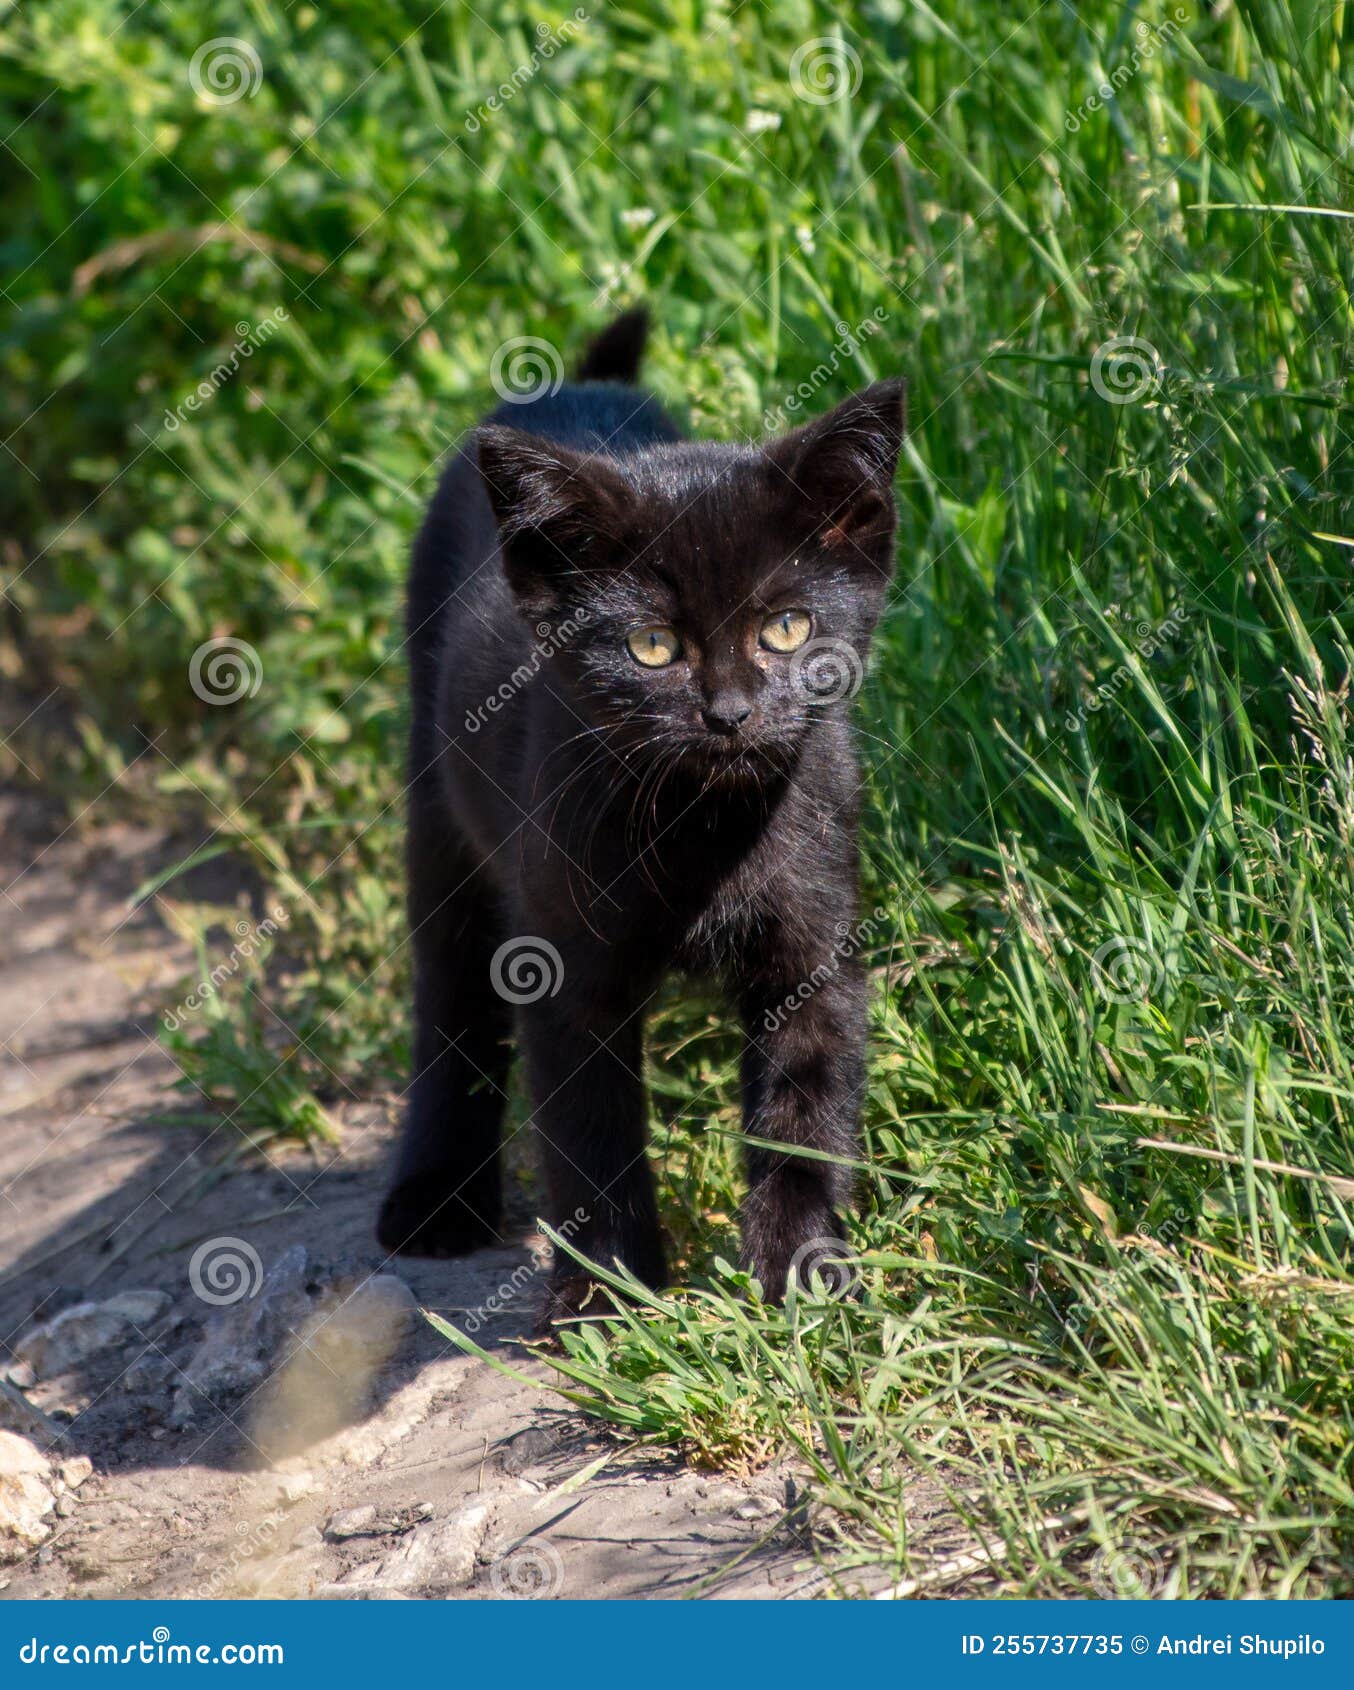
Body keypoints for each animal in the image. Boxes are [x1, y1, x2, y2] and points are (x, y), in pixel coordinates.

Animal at [376, 310, 906, 1304]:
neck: (705, 827)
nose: (730, 713)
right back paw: (435, 1196)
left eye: (787, 628)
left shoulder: (814, 947)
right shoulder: (562, 970)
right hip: (438, 813)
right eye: (652, 646)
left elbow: (805, 1114)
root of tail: (568, 390)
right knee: (449, 1004)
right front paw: (611, 1300)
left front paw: (798, 1272)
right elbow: (590, 1141)